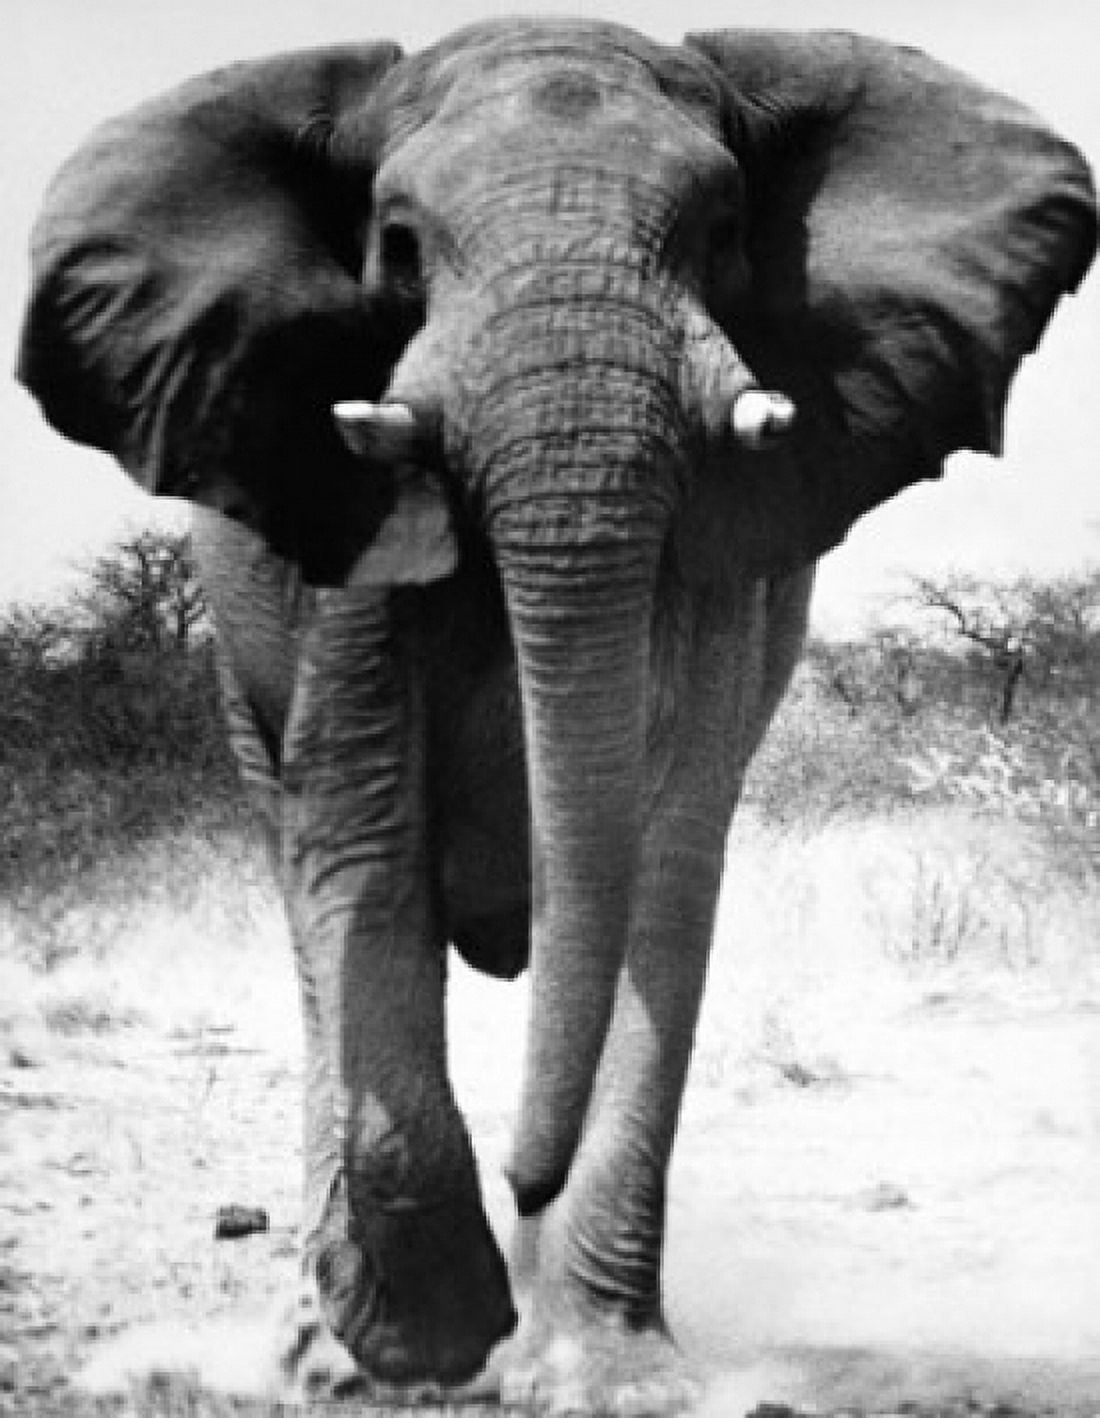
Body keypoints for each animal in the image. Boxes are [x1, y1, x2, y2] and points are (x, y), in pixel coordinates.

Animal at [17, 17, 1096, 1413]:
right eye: (399, 240)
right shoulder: (347, 506)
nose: (527, 1171)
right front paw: (428, 1341)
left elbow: (664, 858)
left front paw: (599, 1371)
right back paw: (325, 1346)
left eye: (720, 228)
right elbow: (361, 827)